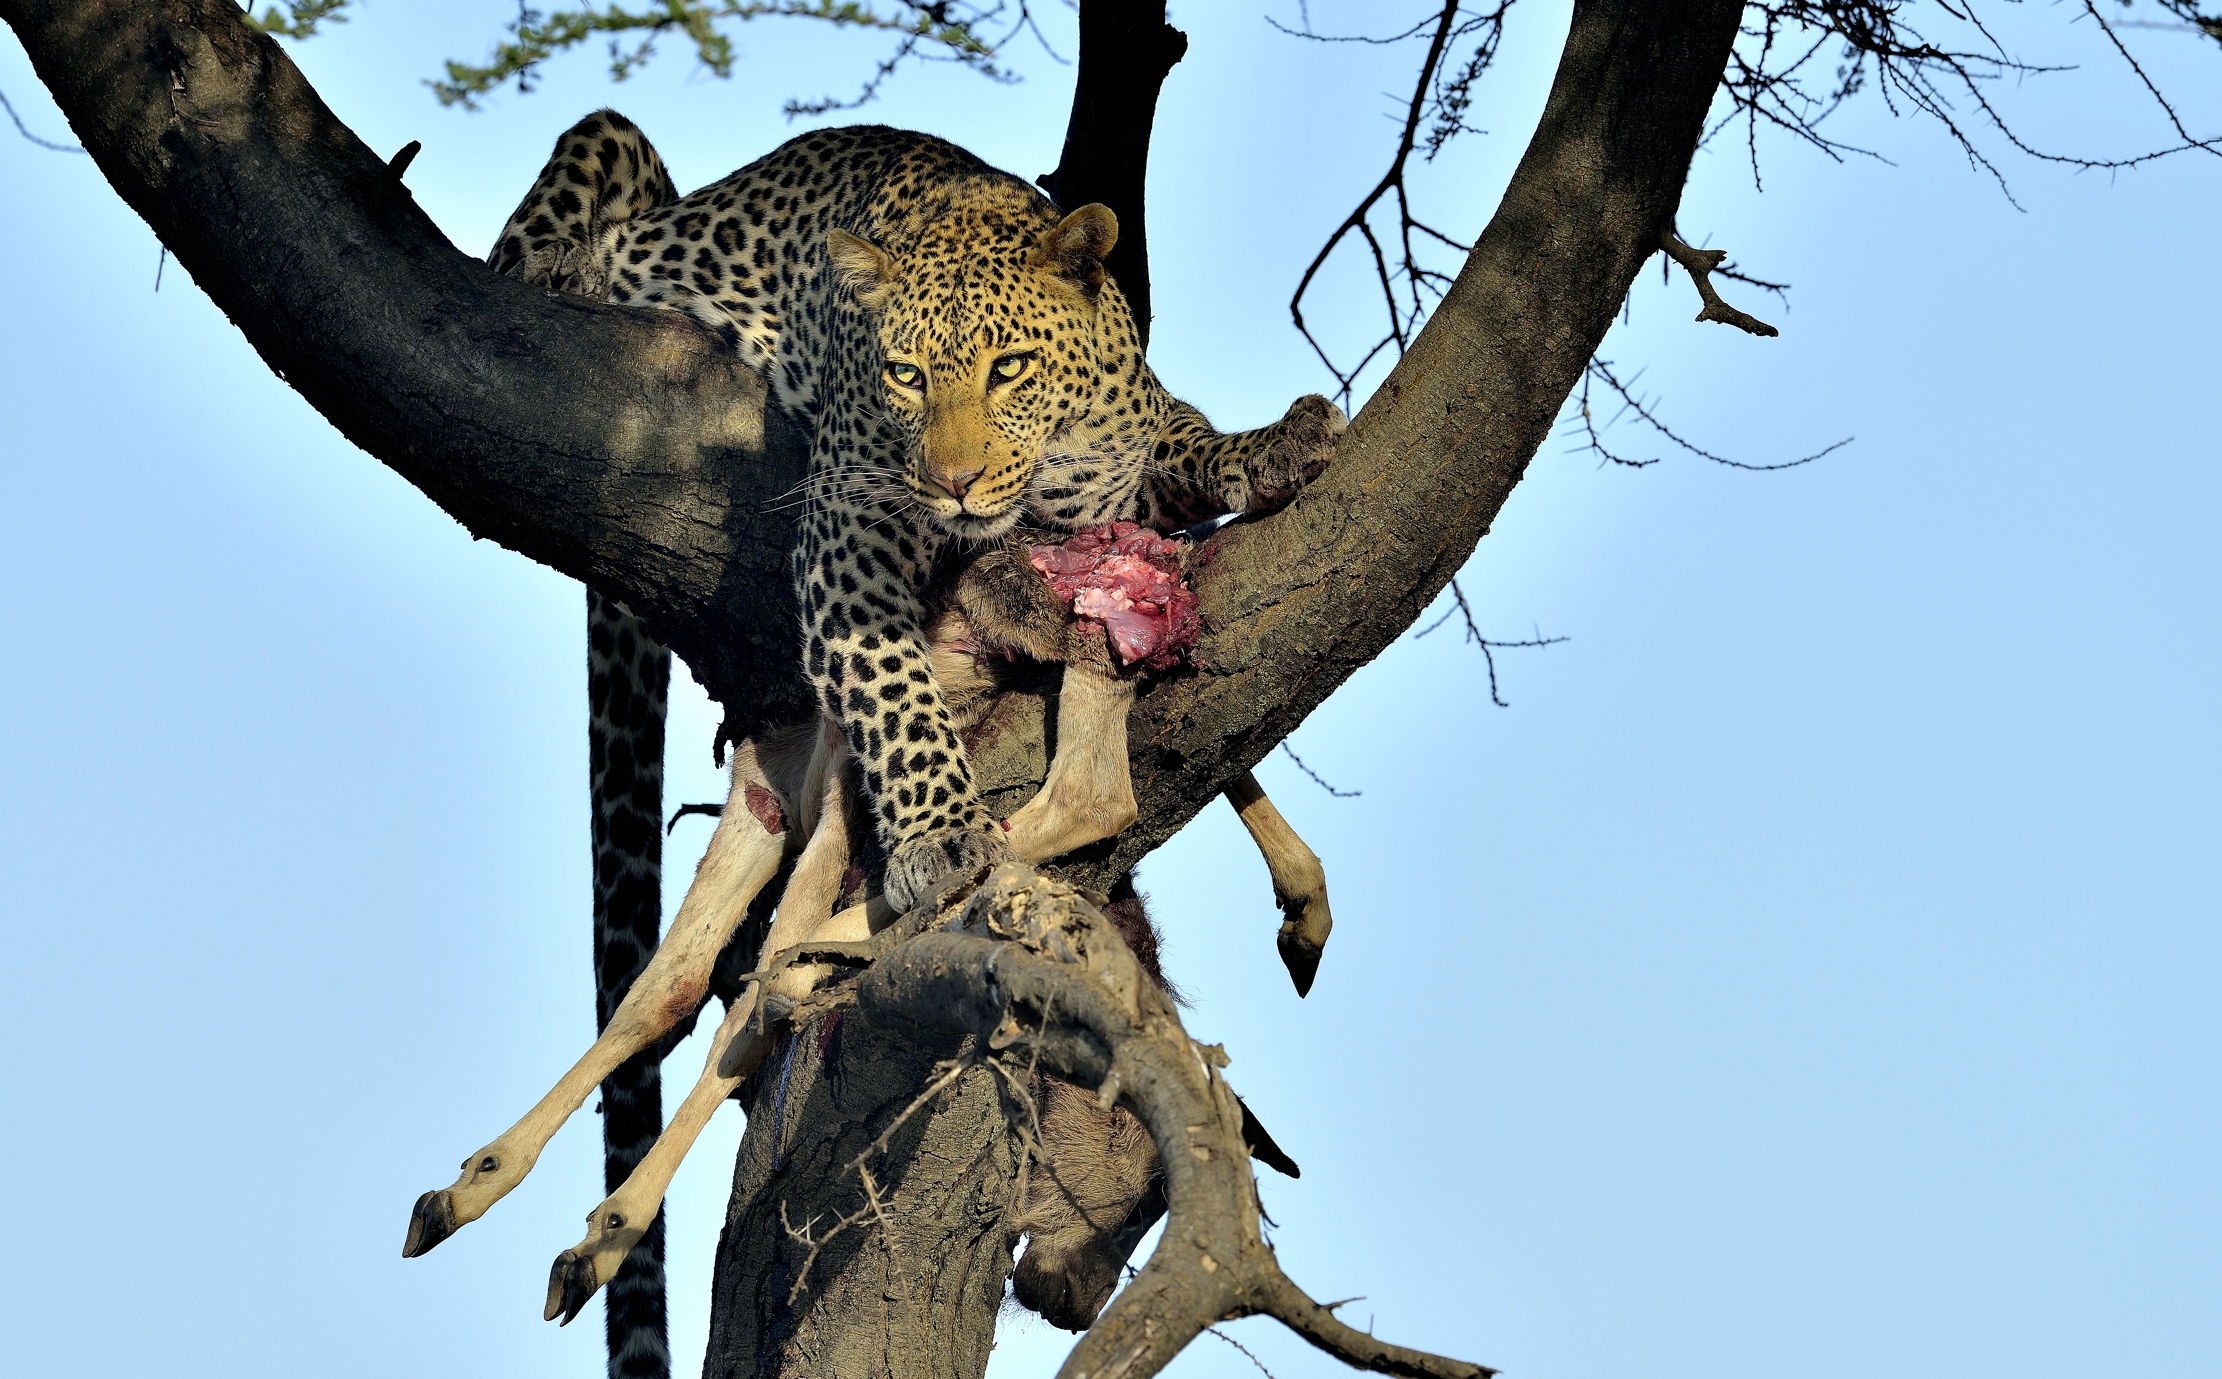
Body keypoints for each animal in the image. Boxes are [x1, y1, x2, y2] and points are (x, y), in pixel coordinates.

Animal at [491, 110, 1344, 914]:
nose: (954, 481)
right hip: (615, 155)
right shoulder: (846, 534)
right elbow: (893, 687)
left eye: (1010, 367)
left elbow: (1188, 438)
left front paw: (1277, 443)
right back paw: (562, 265)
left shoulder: (1118, 463)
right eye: (906, 375)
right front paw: (943, 832)